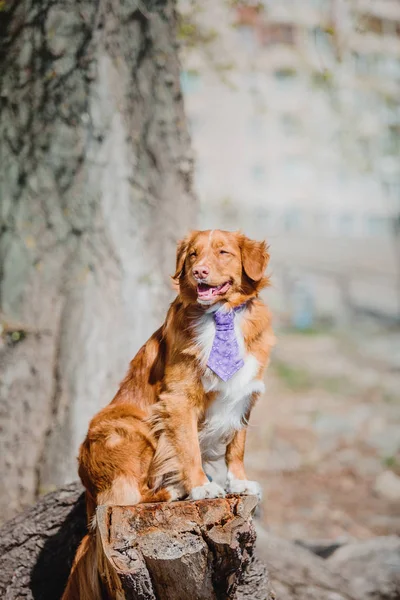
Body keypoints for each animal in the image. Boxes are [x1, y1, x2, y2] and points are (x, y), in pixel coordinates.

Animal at [61, 230, 276, 600]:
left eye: (223, 252)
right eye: (193, 255)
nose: (199, 272)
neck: (221, 316)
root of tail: (88, 489)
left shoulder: (244, 395)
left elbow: (237, 446)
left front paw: (238, 481)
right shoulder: (178, 398)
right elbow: (187, 447)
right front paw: (201, 487)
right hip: (129, 430)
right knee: (126, 497)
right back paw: (173, 492)